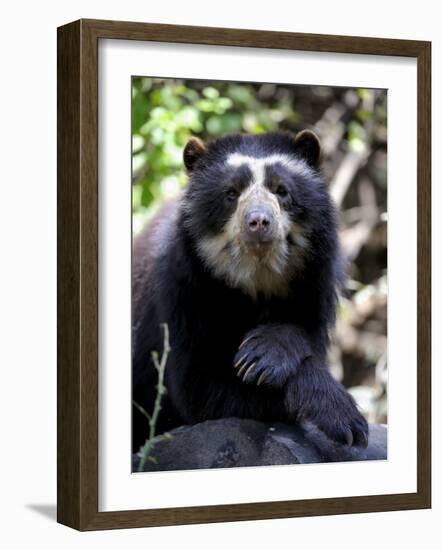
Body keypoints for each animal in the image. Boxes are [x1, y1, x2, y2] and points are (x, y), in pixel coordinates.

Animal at [132, 132, 370, 454]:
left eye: (282, 190)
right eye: (231, 193)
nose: (258, 222)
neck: (256, 277)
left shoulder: (314, 280)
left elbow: (302, 330)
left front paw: (263, 353)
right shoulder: (184, 289)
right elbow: (199, 387)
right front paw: (344, 418)